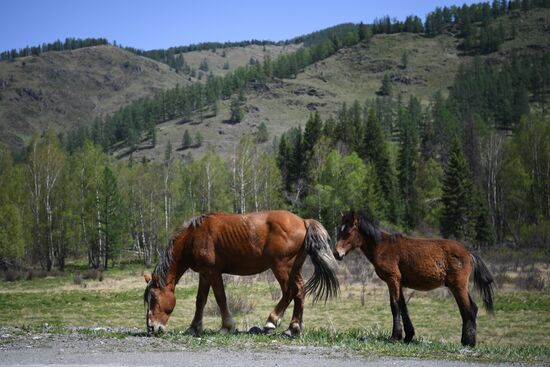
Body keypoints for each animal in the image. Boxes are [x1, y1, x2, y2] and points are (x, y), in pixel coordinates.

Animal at [142, 211, 340, 338]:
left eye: (155, 298)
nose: (151, 328)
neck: (194, 236)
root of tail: (304, 221)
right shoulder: (204, 275)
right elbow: (201, 301)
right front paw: (194, 328)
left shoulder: (213, 272)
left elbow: (220, 298)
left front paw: (227, 327)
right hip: (293, 269)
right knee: (300, 292)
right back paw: (293, 328)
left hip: (282, 267)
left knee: (291, 291)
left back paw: (272, 321)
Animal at [334, 210, 498, 348]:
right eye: (339, 231)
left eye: (348, 232)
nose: (337, 253)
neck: (382, 246)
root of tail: (468, 253)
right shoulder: (399, 282)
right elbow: (403, 306)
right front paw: (408, 336)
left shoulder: (392, 279)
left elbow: (395, 306)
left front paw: (395, 337)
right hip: (456, 286)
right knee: (471, 309)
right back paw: (467, 341)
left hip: (458, 286)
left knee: (468, 310)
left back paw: (468, 343)